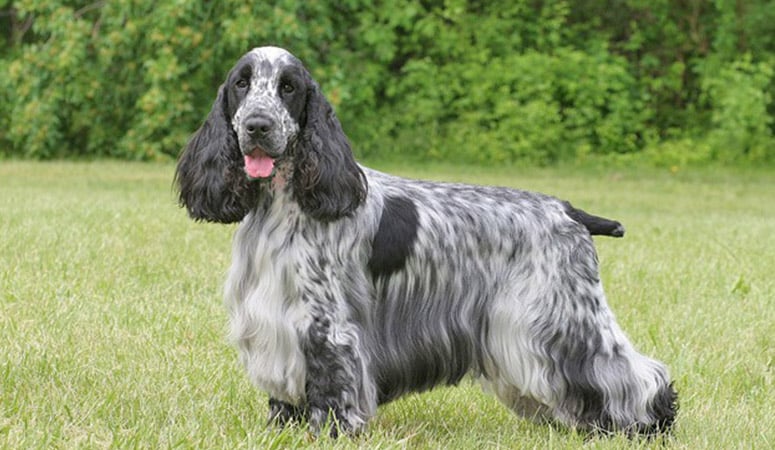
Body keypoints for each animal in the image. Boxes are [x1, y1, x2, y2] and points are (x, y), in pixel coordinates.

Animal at [174, 45, 672, 436]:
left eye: (289, 88)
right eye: (241, 84)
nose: (257, 126)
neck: (283, 203)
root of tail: (568, 210)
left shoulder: (325, 323)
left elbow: (332, 381)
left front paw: (330, 430)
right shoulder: (276, 319)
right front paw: (283, 428)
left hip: (563, 316)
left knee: (632, 373)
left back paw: (649, 423)